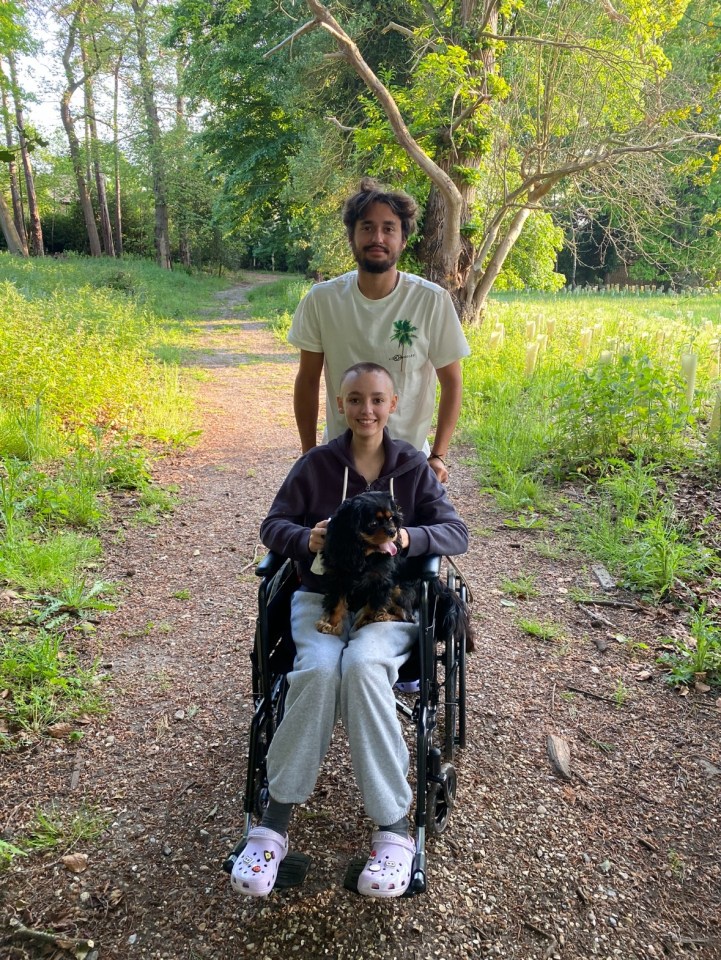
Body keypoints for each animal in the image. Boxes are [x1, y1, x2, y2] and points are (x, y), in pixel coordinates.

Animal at [316, 488, 472, 652]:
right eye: (373, 523)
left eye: (391, 518)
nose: (392, 531)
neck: (365, 555)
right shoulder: (337, 577)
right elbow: (336, 604)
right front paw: (331, 624)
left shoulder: (382, 581)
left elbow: (373, 604)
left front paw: (366, 619)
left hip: (399, 588)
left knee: (408, 617)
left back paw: (383, 616)